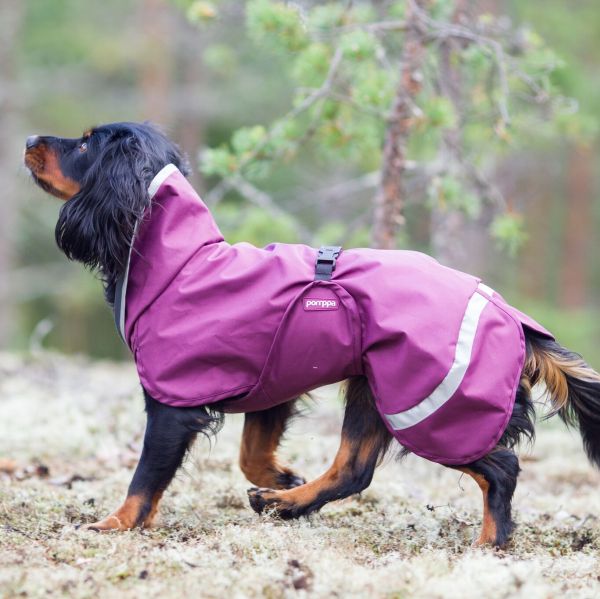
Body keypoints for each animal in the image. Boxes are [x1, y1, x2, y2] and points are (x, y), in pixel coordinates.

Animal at [23, 123, 600, 548]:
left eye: (83, 143)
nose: (28, 139)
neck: (180, 262)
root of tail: (511, 313)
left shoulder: (172, 401)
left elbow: (145, 478)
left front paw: (113, 525)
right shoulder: (270, 383)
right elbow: (251, 454)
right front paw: (283, 479)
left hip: (431, 408)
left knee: (501, 467)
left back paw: (490, 542)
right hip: (378, 388)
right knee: (353, 469)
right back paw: (284, 504)